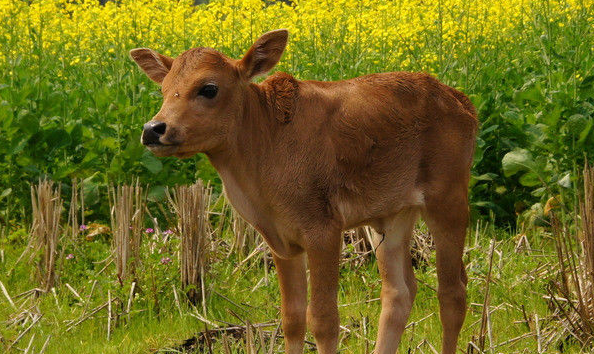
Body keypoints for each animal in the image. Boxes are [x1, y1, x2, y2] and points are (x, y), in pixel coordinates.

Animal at [130, 29, 476, 354]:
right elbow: (292, 319)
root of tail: (460, 99)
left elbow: (323, 320)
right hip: (392, 215)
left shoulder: (323, 229)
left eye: (209, 88)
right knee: (399, 292)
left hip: (449, 198)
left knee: (452, 292)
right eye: (163, 90)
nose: (153, 129)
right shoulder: (281, 242)